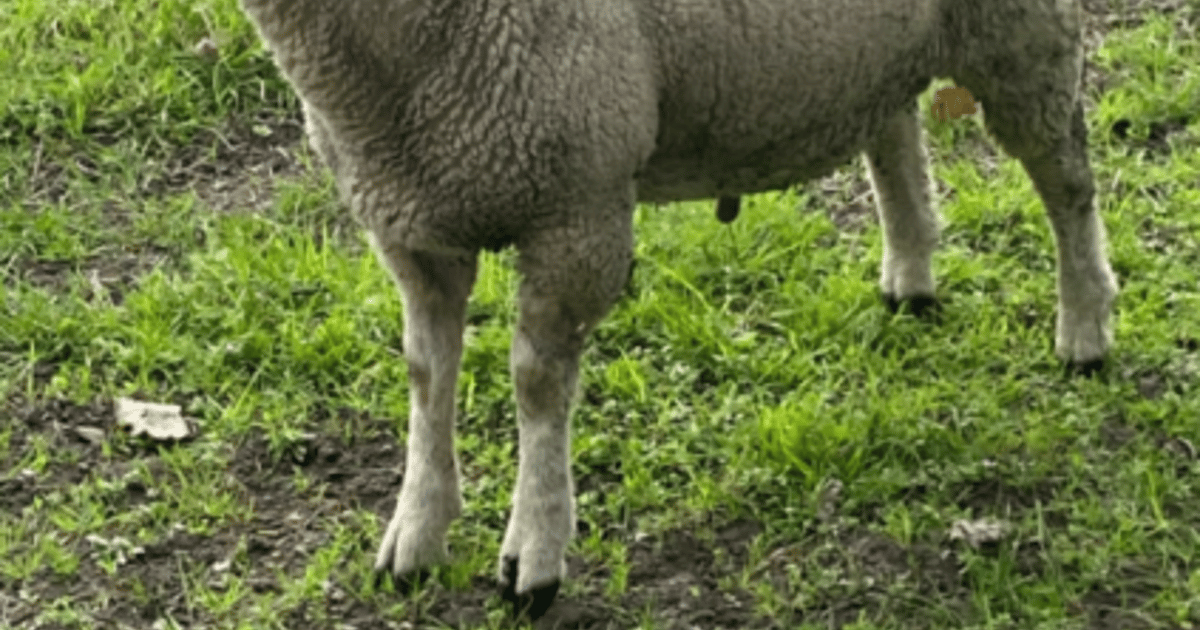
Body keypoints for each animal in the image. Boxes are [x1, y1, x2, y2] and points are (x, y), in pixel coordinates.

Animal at [240, 0, 1119, 619]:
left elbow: (537, 385)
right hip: (882, 53)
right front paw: (416, 534)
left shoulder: (578, 209)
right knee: (894, 126)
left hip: (1020, 35)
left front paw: (534, 555)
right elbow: (427, 377)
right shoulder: (409, 224)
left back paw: (1085, 327)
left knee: (1067, 180)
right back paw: (910, 275)